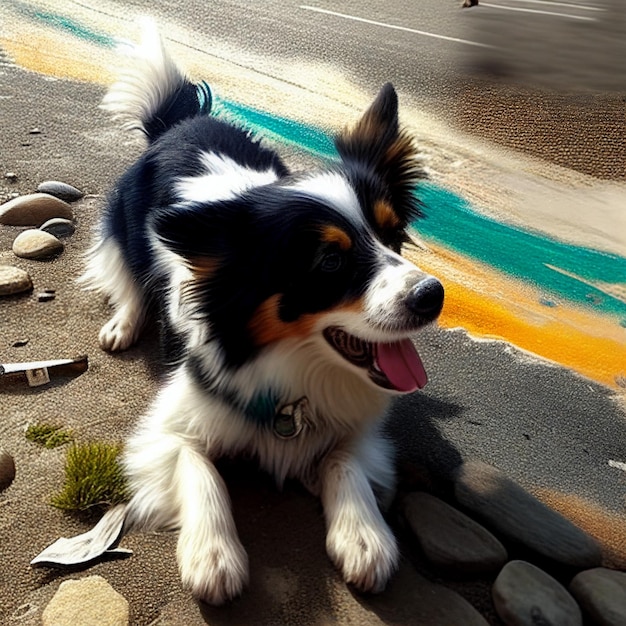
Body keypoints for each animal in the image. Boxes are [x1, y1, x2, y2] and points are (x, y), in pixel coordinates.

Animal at [81, 22, 444, 604]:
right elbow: (198, 467)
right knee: (126, 273)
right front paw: (212, 555)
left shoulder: (360, 433)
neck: (293, 365)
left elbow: (343, 461)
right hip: (124, 225)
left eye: (393, 237)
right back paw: (124, 322)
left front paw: (364, 537)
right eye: (330, 262)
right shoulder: (165, 430)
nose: (433, 295)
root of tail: (178, 122)